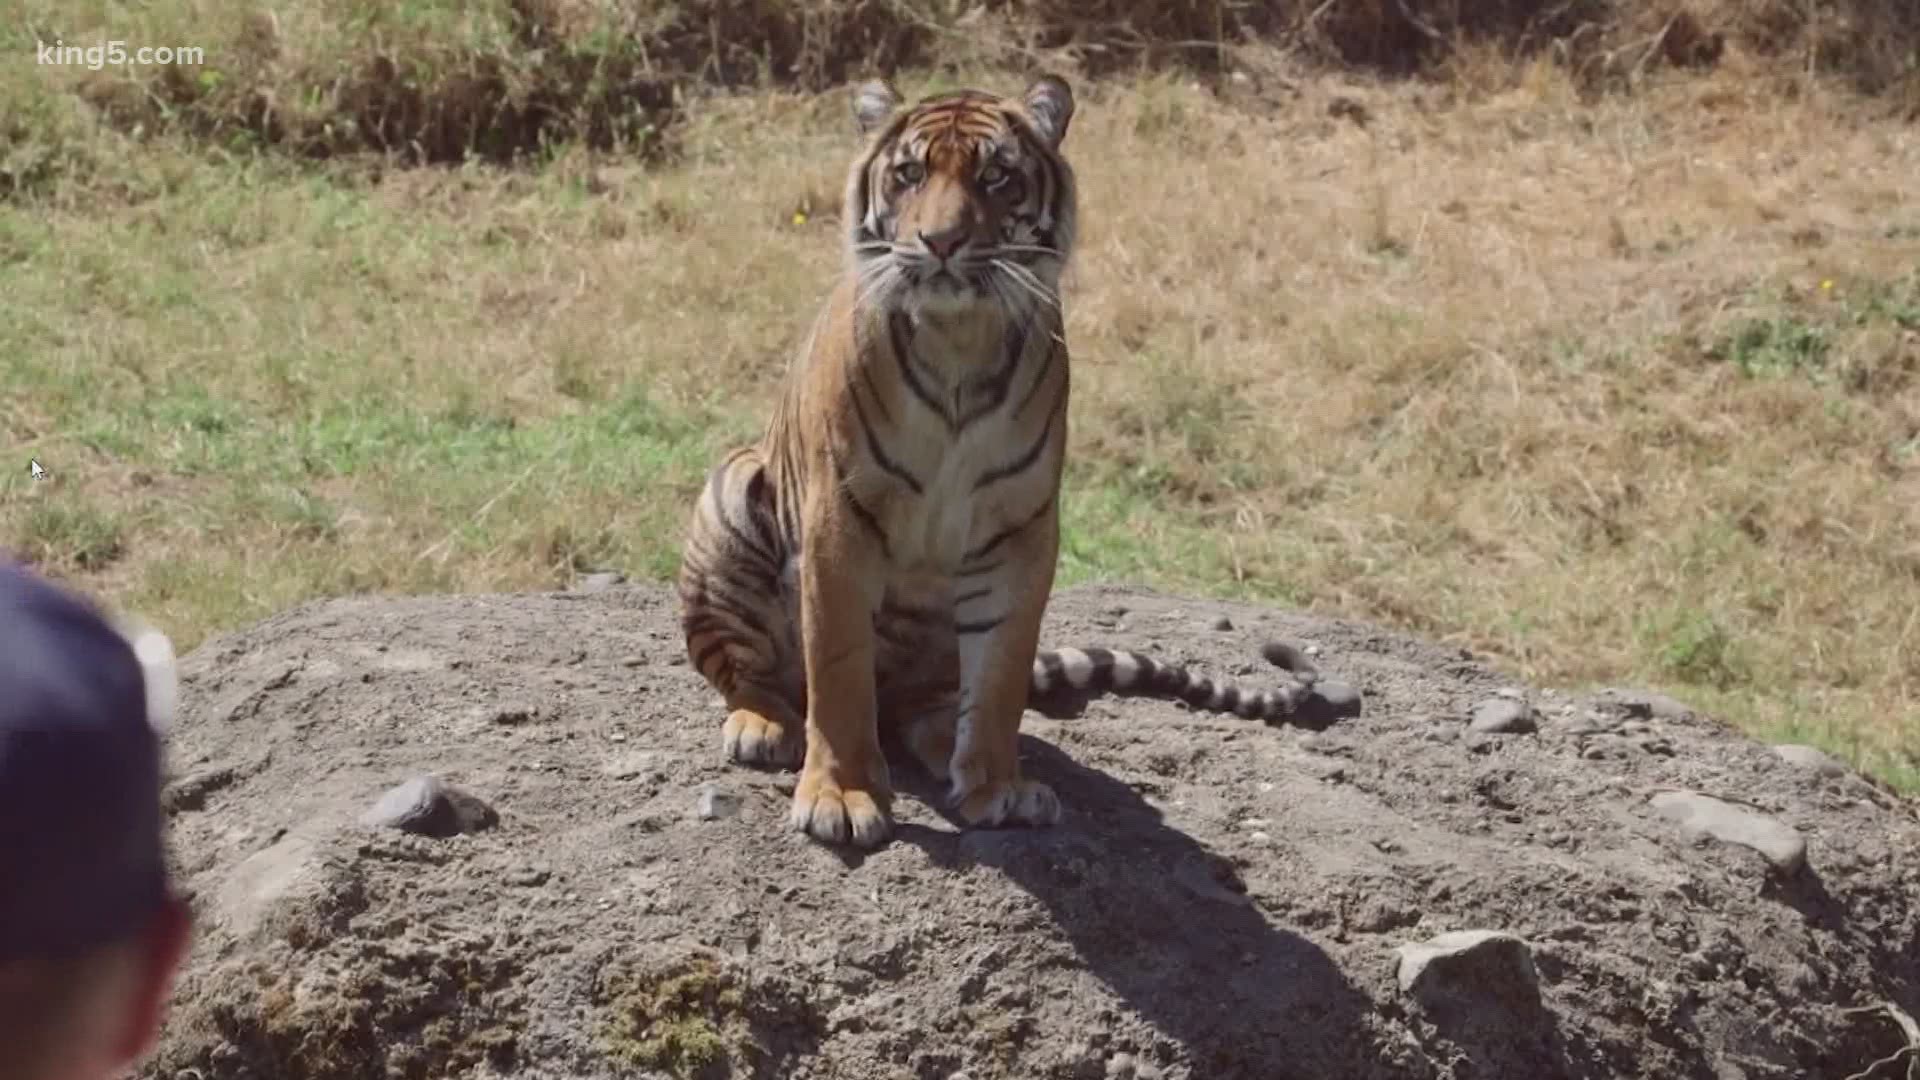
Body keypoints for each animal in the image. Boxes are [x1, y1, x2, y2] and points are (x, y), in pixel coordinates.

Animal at [675, 75, 1351, 849]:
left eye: (996, 176)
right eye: (910, 174)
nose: (940, 240)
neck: (958, 339)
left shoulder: (1019, 531)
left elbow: (1000, 675)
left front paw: (996, 786)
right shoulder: (839, 521)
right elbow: (839, 670)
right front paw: (842, 796)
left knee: (928, 707)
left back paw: (948, 746)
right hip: (731, 496)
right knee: (749, 673)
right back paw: (764, 724)